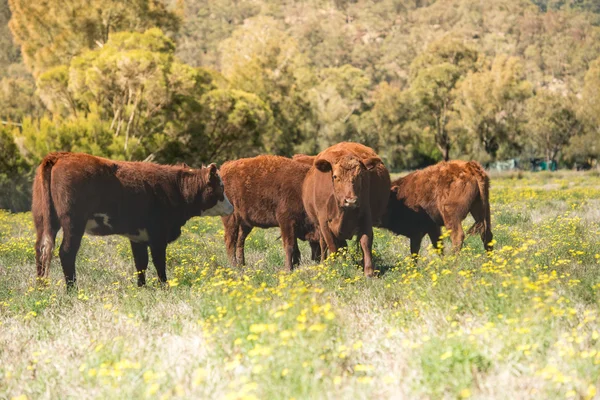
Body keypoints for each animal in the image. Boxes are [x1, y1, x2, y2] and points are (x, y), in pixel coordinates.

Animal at [31, 152, 234, 286]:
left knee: (42, 249)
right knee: (66, 253)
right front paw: (164, 286)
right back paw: (72, 290)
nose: (231, 207)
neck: (175, 187)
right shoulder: (158, 236)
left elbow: (141, 263)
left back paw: (41, 288)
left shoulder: (138, 237)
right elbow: (159, 263)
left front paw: (142, 287)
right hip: (73, 223)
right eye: (221, 187)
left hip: (43, 220)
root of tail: (59, 156)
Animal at [300, 142, 394, 276]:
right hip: (318, 225)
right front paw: (334, 268)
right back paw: (324, 263)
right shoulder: (324, 223)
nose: (351, 201)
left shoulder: (366, 216)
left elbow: (365, 242)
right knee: (324, 244)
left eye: (360, 175)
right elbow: (331, 245)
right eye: (335, 176)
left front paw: (369, 271)